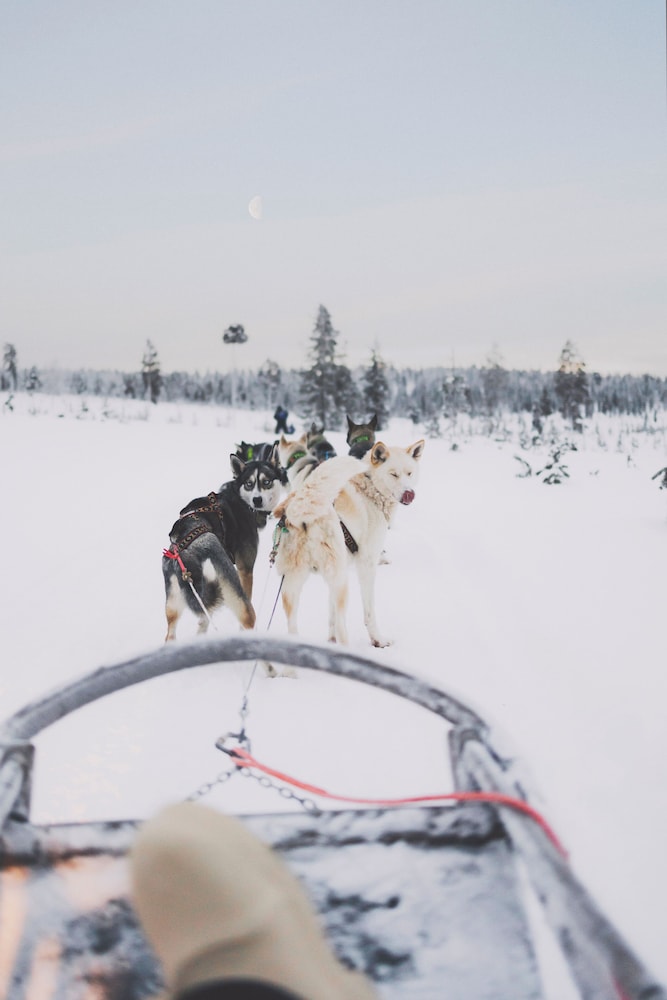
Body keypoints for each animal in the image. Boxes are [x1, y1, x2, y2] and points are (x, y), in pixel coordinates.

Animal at [163, 454, 283, 641]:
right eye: (249, 483)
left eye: (267, 482)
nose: (257, 500)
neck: (240, 499)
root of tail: (187, 554)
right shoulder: (245, 570)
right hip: (236, 595)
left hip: (174, 605)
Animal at [272, 439, 425, 647]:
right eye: (393, 474)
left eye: (410, 473)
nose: (410, 493)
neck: (370, 489)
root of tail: (300, 508)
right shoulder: (367, 565)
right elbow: (368, 612)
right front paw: (378, 640)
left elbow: (330, 616)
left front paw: (330, 642)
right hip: (341, 582)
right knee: (342, 626)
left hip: (294, 584)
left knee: (293, 625)